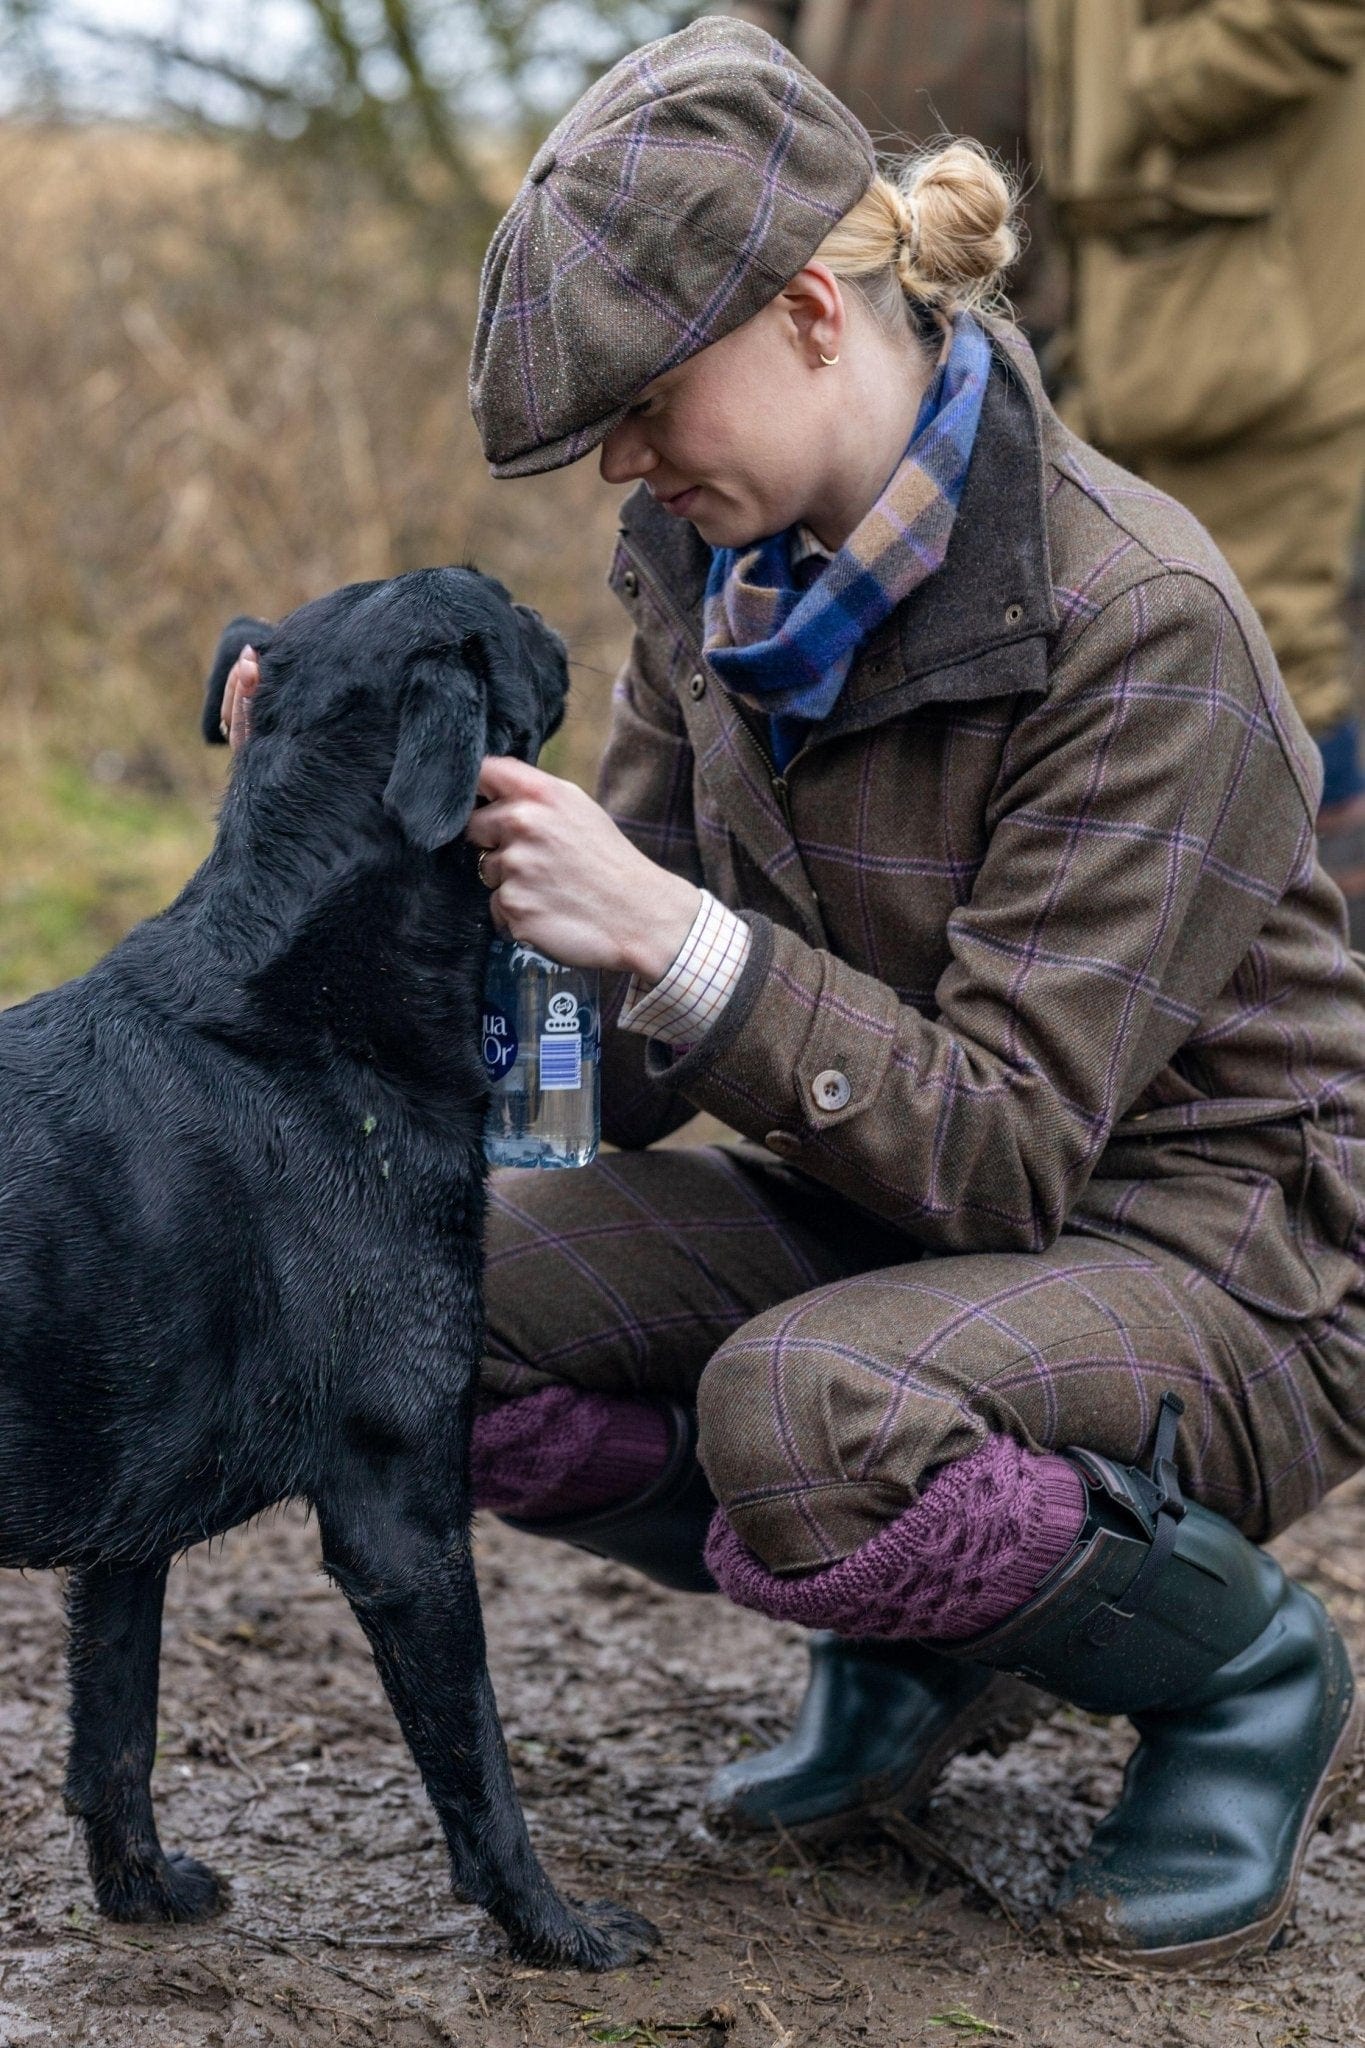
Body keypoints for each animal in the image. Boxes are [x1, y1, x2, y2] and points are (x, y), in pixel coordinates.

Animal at [0, 565, 658, 1966]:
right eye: (499, 604)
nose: (571, 613)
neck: (302, 1010)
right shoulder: (401, 1515)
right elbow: (477, 1761)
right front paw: (555, 1927)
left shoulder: (126, 1538)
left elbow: (116, 1735)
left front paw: (141, 1893)